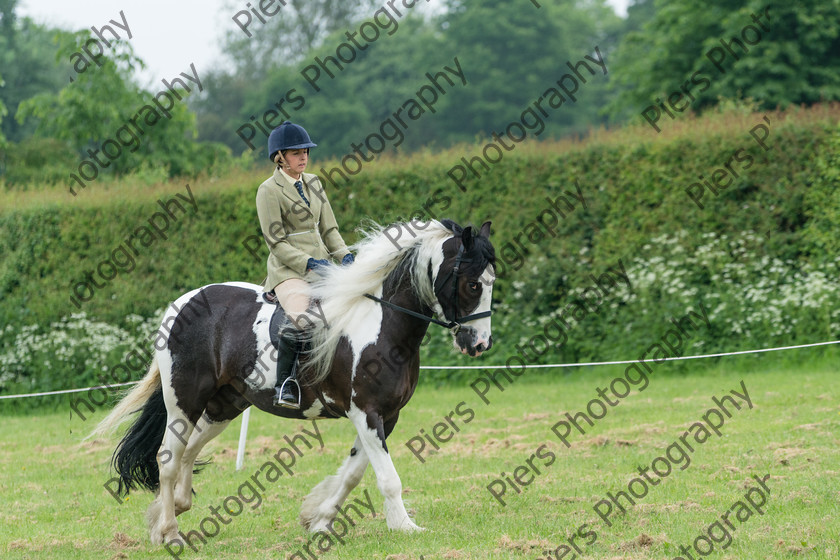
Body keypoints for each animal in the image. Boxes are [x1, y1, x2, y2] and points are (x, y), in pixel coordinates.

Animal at [94, 220, 496, 548]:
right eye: (473, 283)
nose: (479, 344)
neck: (380, 324)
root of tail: (181, 303)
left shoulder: (385, 415)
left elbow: (353, 473)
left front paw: (318, 519)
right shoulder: (365, 412)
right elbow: (386, 477)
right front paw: (404, 527)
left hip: (224, 404)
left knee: (188, 452)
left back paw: (169, 513)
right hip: (185, 400)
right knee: (167, 457)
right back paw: (171, 533)